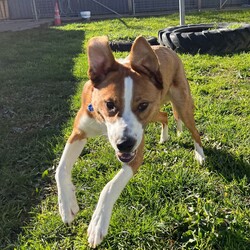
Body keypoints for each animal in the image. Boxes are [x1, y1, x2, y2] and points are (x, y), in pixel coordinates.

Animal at [54, 35, 205, 248]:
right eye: (110, 104)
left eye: (142, 105)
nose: (124, 144)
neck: (102, 122)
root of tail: (166, 48)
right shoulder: (78, 132)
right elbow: (61, 168)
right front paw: (67, 206)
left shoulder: (136, 152)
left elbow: (110, 186)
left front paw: (98, 223)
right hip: (156, 111)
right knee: (165, 115)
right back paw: (164, 136)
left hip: (182, 105)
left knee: (194, 131)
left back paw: (199, 154)